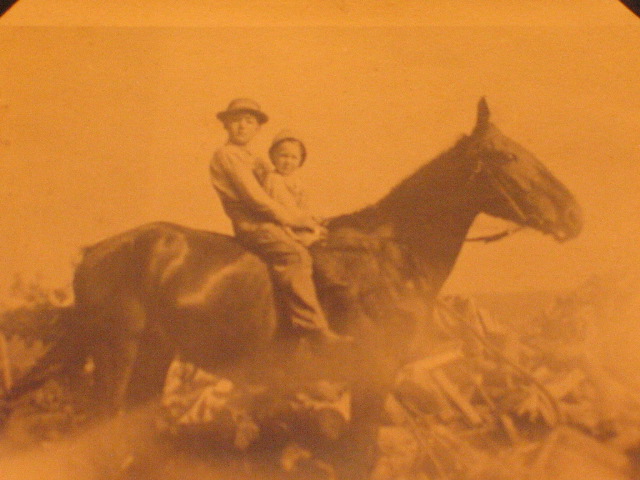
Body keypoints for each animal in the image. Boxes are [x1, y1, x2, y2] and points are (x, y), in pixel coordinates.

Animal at [8, 98, 582, 478]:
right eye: (507, 156)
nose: (575, 215)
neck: (391, 257)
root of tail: (94, 251)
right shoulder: (372, 374)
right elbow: (359, 456)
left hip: (154, 355)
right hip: (117, 353)